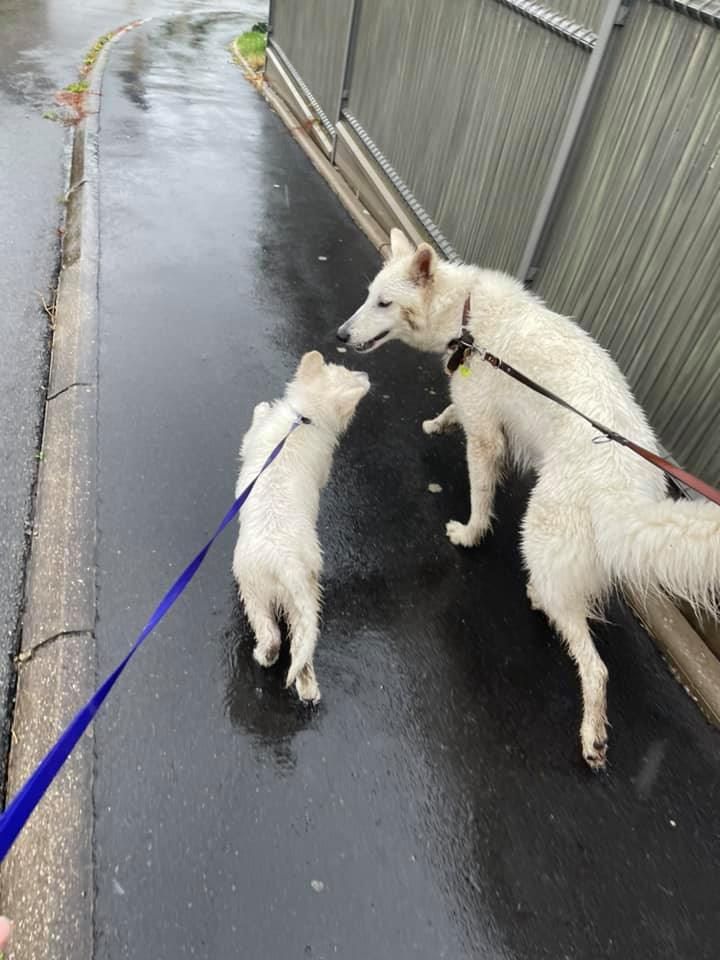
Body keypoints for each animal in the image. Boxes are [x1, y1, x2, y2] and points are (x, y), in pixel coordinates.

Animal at [232, 348, 368, 700]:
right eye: (344, 369)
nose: (366, 375)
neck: (304, 418)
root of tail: (286, 565)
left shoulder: (251, 439)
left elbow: (252, 426)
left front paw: (262, 406)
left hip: (253, 590)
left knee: (271, 635)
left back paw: (264, 656)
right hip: (303, 598)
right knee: (301, 645)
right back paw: (307, 687)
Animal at [338, 229, 720, 768]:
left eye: (384, 303)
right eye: (369, 296)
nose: (339, 336)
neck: (467, 317)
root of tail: (625, 494)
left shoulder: (485, 437)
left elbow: (480, 493)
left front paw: (470, 533)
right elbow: (451, 409)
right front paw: (438, 422)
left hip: (539, 531)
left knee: (594, 665)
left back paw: (592, 734)